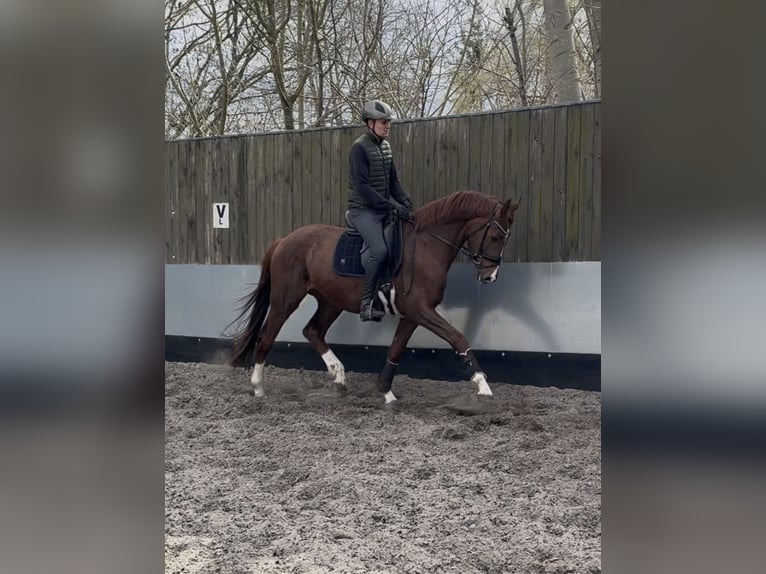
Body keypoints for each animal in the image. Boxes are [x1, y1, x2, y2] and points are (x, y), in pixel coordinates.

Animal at [228, 190, 520, 403]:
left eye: (505, 238)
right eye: (495, 236)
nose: (489, 277)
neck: (427, 246)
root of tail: (284, 240)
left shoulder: (412, 315)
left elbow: (396, 349)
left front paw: (386, 391)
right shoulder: (421, 310)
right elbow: (458, 338)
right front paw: (482, 384)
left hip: (330, 302)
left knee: (312, 330)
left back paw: (338, 376)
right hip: (285, 300)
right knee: (267, 337)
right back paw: (258, 387)